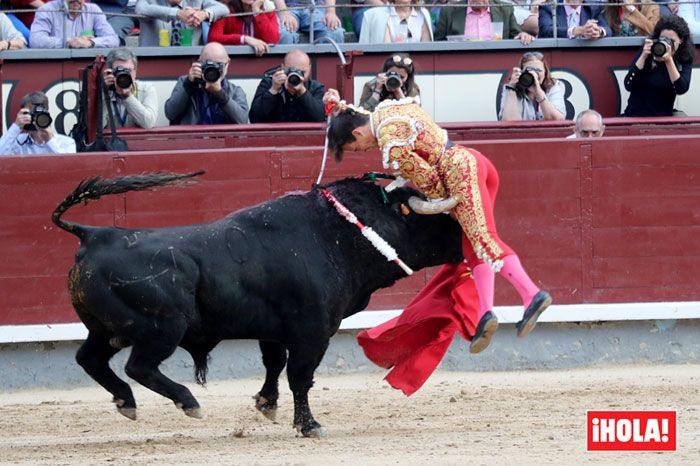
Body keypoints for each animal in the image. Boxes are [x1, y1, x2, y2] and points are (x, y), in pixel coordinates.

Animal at [52, 171, 462, 436]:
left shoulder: (274, 331)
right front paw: (309, 425)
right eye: (426, 217)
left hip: (105, 330)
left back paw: (127, 402)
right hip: (161, 328)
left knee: (89, 359)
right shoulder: (312, 331)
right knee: (139, 366)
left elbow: (274, 364)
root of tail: (93, 235)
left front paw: (267, 405)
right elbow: (300, 375)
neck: (337, 233)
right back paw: (188, 402)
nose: (463, 239)